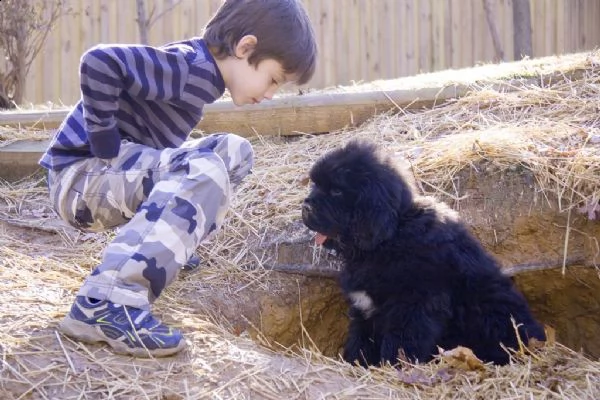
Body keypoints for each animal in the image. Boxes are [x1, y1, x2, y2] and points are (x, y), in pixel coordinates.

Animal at [302, 141, 548, 366]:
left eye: (336, 190)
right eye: (315, 185)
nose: (305, 207)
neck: (391, 235)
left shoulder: (414, 305)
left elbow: (400, 342)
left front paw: (394, 366)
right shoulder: (365, 307)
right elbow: (359, 339)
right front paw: (357, 363)